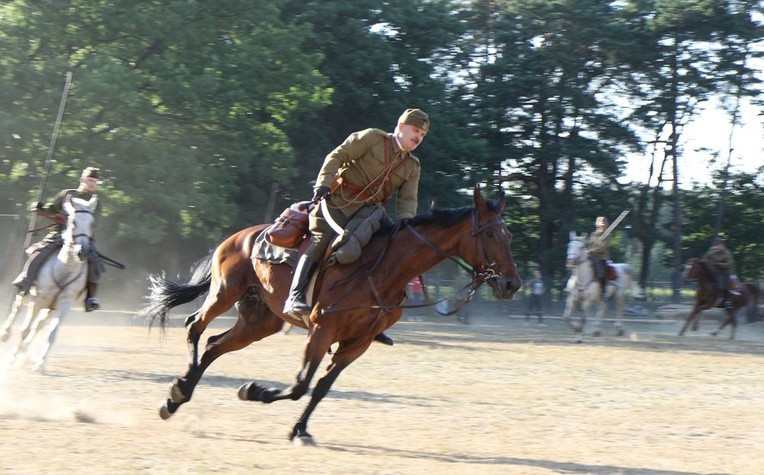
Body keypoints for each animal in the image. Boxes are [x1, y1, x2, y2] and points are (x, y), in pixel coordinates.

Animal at [1, 194, 97, 372]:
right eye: (73, 222)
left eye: (92, 224)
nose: (82, 252)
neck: (64, 269)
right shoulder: (37, 301)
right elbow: (25, 329)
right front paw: (11, 358)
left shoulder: (63, 304)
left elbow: (51, 333)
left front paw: (40, 364)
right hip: (28, 295)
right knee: (17, 309)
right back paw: (5, 334)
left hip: (50, 308)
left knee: (38, 325)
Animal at [140, 187, 524, 446]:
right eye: (491, 232)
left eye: (509, 233)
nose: (511, 283)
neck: (381, 270)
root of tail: (240, 236)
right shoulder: (322, 330)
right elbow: (300, 385)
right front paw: (252, 391)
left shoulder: (358, 343)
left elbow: (321, 388)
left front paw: (299, 428)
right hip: (225, 292)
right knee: (195, 327)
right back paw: (178, 389)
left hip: (260, 320)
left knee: (214, 345)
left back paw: (177, 397)